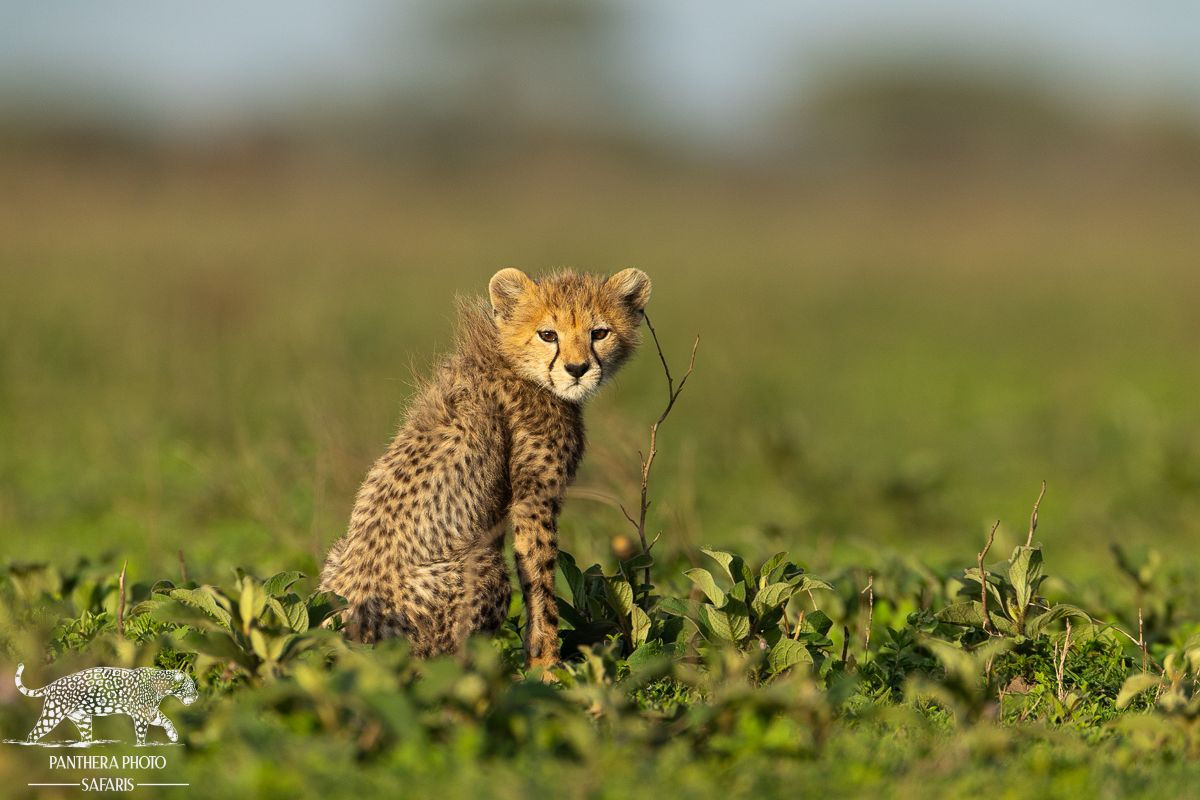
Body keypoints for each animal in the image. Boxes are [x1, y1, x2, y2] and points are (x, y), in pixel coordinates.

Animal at [15, 663, 198, 745]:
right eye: (191, 686)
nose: (196, 697)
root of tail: (51, 685)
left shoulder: (149, 711)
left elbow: (166, 719)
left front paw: (173, 735)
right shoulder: (141, 714)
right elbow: (141, 734)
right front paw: (141, 746)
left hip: (82, 719)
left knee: (85, 738)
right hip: (53, 713)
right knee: (34, 733)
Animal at [319, 267, 651, 670]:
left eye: (599, 333)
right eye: (548, 334)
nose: (577, 369)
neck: (513, 363)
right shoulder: (534, 501)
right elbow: (540, 583)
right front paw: (548, 666)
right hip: (484, 569)